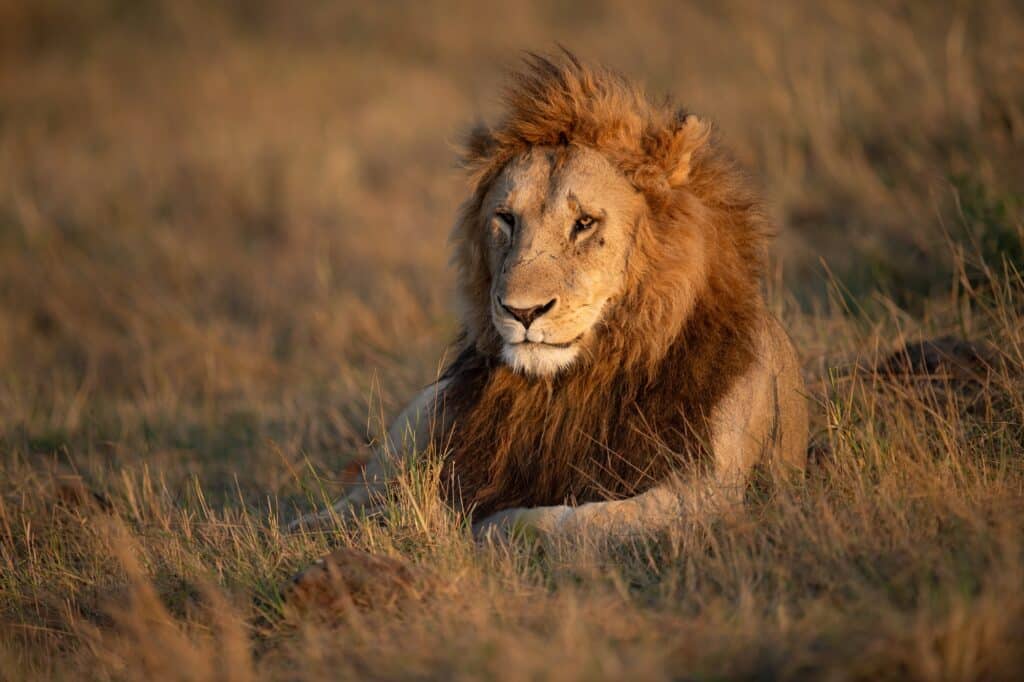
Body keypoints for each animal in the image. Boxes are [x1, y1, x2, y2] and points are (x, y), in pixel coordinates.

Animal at [288, 53, 806, 540]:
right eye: (506, 219)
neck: (574, 385)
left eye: (584, 223)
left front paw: (484, 526)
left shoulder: (709, 490)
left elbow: (564, 520)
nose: (523, 311)